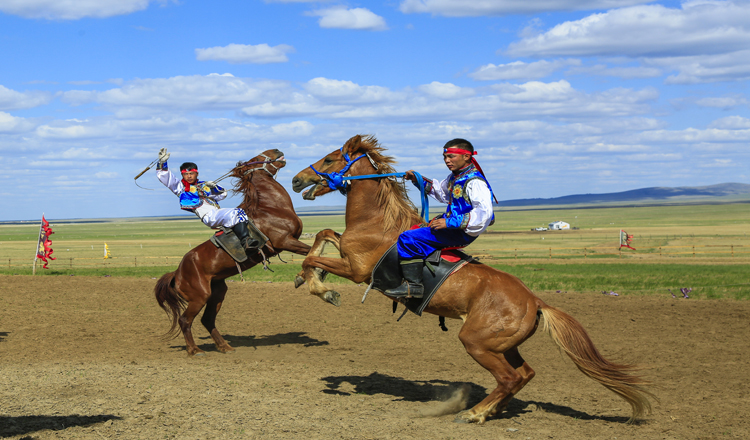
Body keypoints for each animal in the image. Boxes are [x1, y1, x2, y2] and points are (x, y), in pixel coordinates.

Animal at [156, 150, 312, 356]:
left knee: (207, 320)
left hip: (217, 293)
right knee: (185, 320)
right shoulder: (287, 241)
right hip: (199, 297)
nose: (277, 151)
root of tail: (177, 273)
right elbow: (313, 252)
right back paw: (194, 350)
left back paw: (224, 346)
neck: (272, 208)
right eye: (256, 159)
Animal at [290, 134, 656, 422]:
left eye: (330, 158)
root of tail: (536, 301)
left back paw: (475, 412)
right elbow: (323, 234)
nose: (296, 180)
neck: (378, 222)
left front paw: (322, 288)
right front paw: (308, 277)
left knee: (509, 378)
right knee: (524, 374)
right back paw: (492, 409)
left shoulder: (358, 270)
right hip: (503, 345)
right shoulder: (348, 253)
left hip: (476, 342)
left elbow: (312, 256)